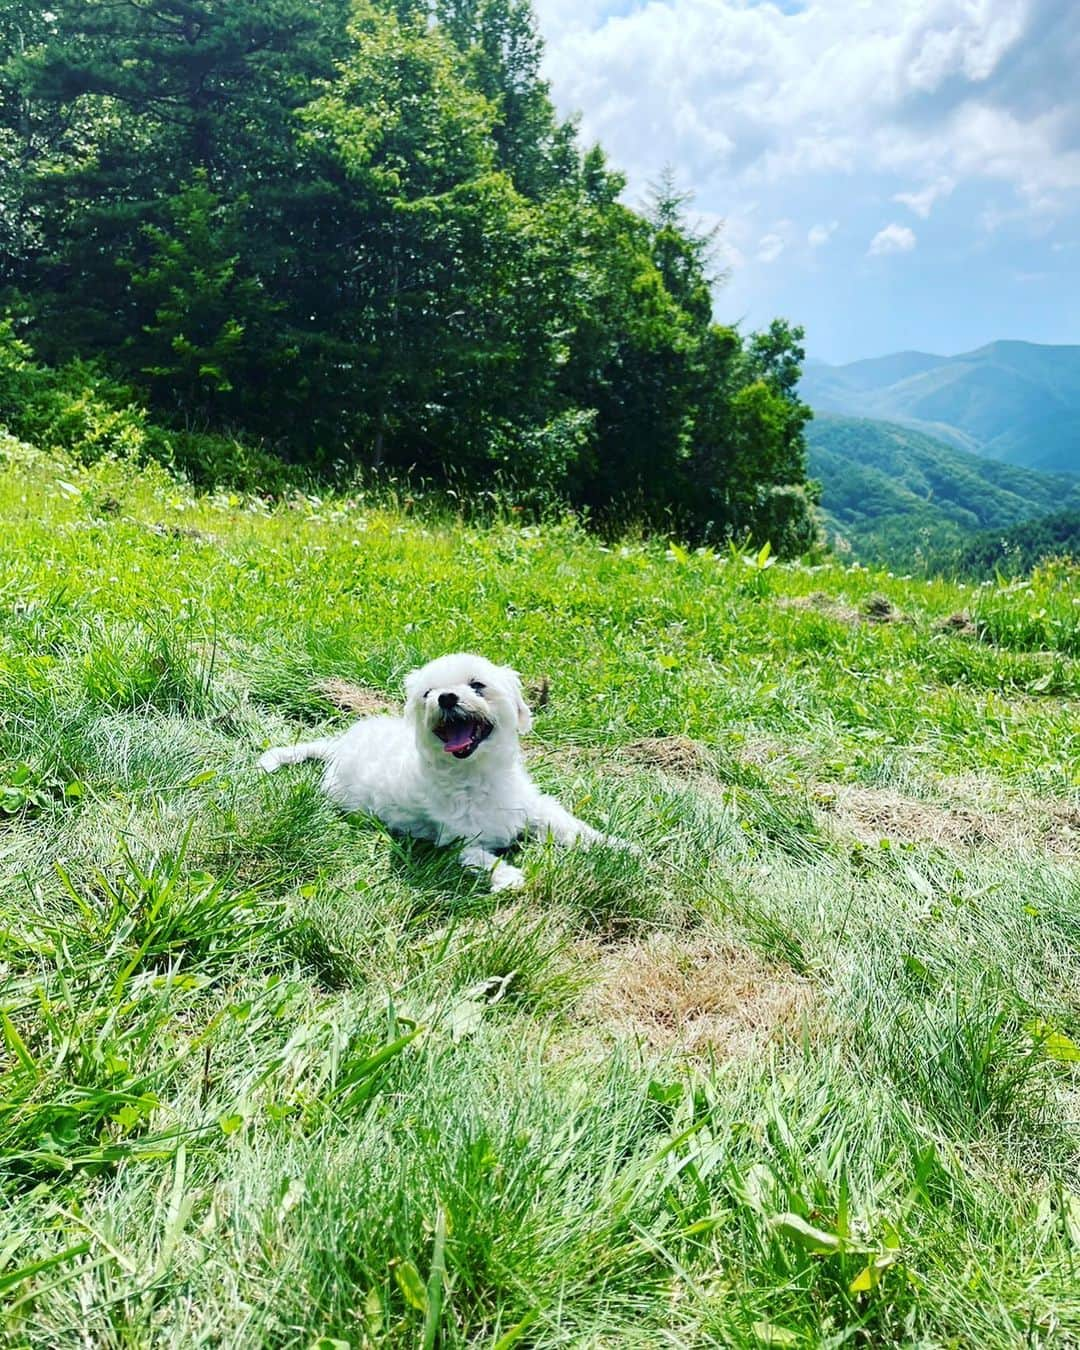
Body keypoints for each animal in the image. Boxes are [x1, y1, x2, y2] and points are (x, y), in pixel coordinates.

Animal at [257, 650, 629, 891]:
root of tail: (338, 746)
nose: (446, 697)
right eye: (427, 694)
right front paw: (507, 877)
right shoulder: (457, 840)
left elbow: (573, 827)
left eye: (477, 685)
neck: (478, 775)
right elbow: (481, 857)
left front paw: (616, 846)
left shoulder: (536, 808)